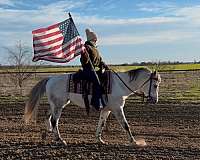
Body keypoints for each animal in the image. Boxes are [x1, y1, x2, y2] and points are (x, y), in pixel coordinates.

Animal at [24, 67, 161, 146]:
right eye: (155, 85)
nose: (155, 100)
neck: (121, 85)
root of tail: (50, 78)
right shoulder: (117, 109)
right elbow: (125, 125)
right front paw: (134, 142)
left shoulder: (106, 110)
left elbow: (101, 123)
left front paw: (99, 140)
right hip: (58, 105)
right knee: (54, 120)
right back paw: (60, 139)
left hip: (57, 104)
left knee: (48, 116)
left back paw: (46, 133)